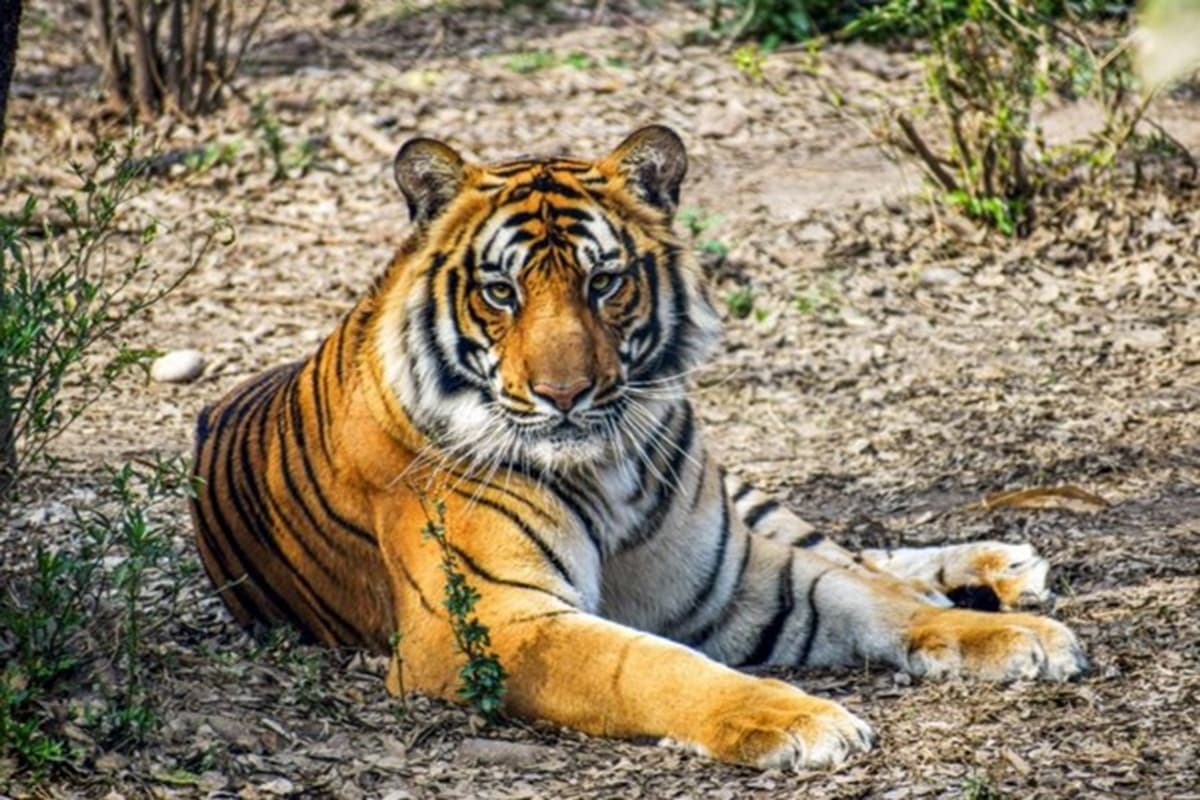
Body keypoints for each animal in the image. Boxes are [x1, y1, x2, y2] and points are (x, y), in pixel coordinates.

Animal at [189, 126, 1088, 769]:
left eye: (604, 281)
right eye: (501, 292)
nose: (565, 393)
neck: (605, 468)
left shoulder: (729, 575)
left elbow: (864, 597)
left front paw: (1012, 637)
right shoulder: (493, 624)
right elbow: (653, 666)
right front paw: (796, 716)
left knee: (854, 553)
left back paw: (1000, 569)